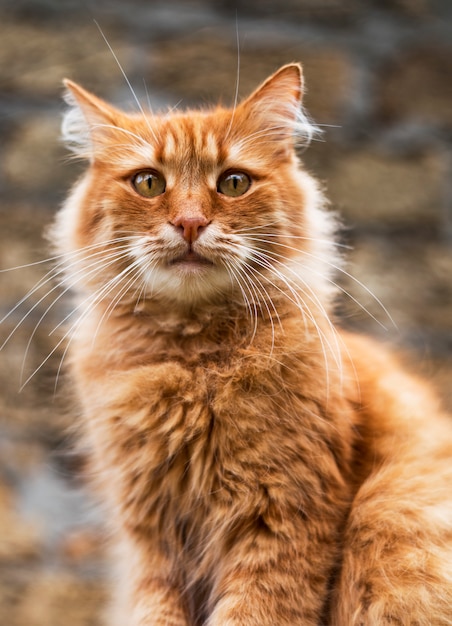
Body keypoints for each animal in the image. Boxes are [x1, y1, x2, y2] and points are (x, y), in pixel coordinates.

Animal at [53, 64, 452, 624]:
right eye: (149, 183)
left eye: (234, 183)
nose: (190, 223)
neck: (194, 363)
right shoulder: (149, 540)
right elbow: (154, 610)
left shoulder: (282, 514)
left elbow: (253, 610)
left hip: (389, 512)